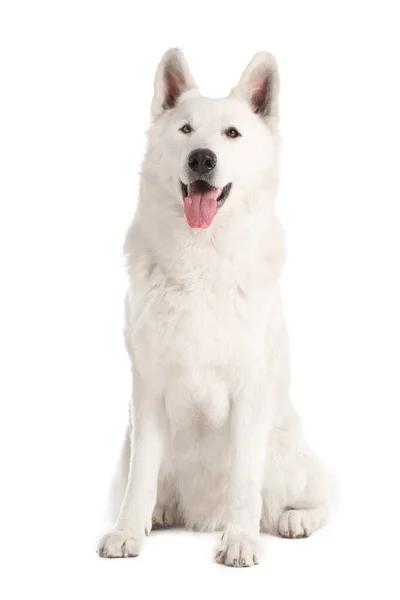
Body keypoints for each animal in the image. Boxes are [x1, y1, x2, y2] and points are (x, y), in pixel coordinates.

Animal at [97, 48, 332, 568]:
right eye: (186, 129)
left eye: (232, 134)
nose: (202, 158)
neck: (200, 260)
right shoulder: (147, 392)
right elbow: (140, 480)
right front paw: (128, 532)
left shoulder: (250, 394)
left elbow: (244, 482)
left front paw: (240, 539)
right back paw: (162, 511)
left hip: (286, 449)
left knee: (320, 494)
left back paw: (296, 519)